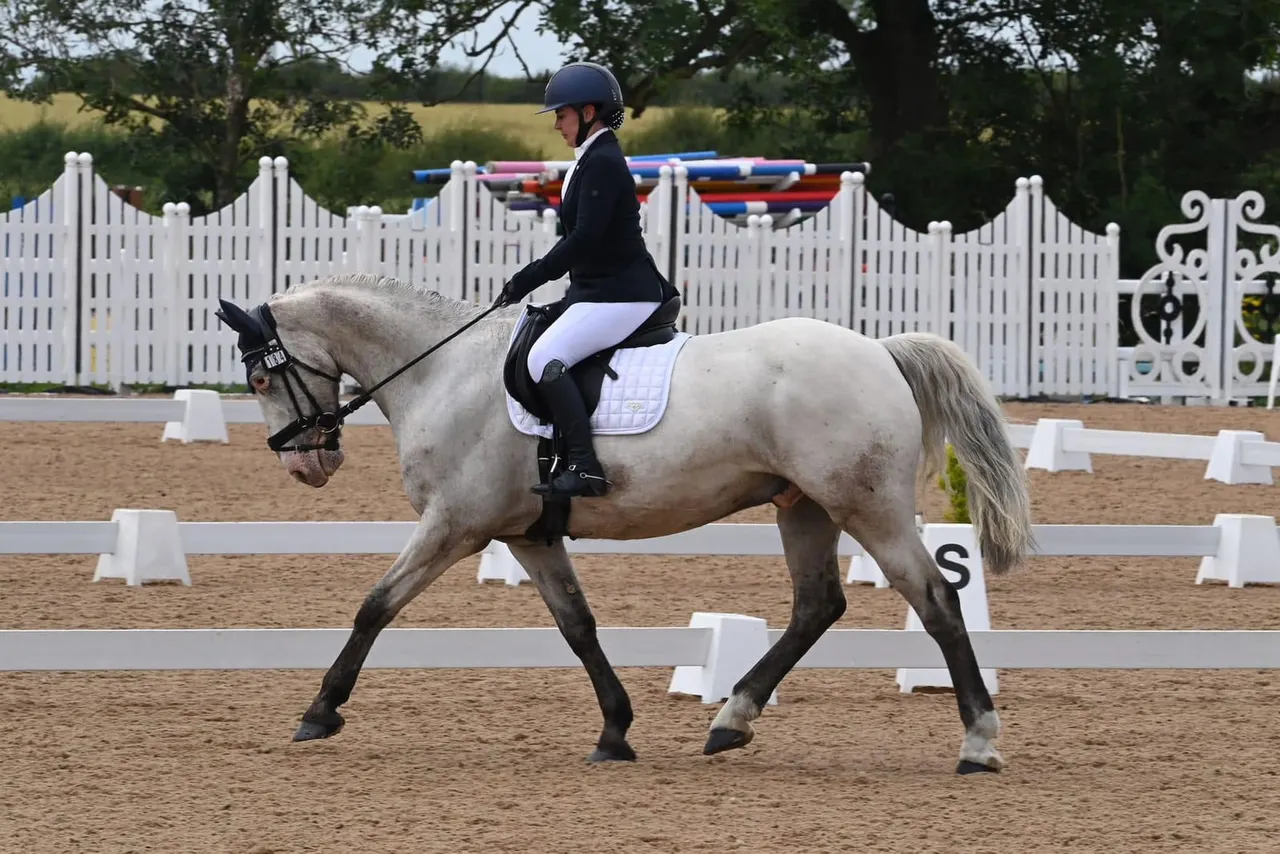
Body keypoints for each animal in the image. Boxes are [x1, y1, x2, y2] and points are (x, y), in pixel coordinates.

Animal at [213, 271, 1034, 775]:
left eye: (258, 376)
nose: (307, 464)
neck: (442, 371)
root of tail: (881, 351)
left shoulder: (456, 524)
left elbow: (375, 606)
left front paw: (320, 711)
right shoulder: (528, 535)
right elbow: (579, 627)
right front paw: (615, 732)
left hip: (867, 506)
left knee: (937, 600)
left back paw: (978, 743)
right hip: (804, 508)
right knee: (816, 606)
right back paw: (730, 721)